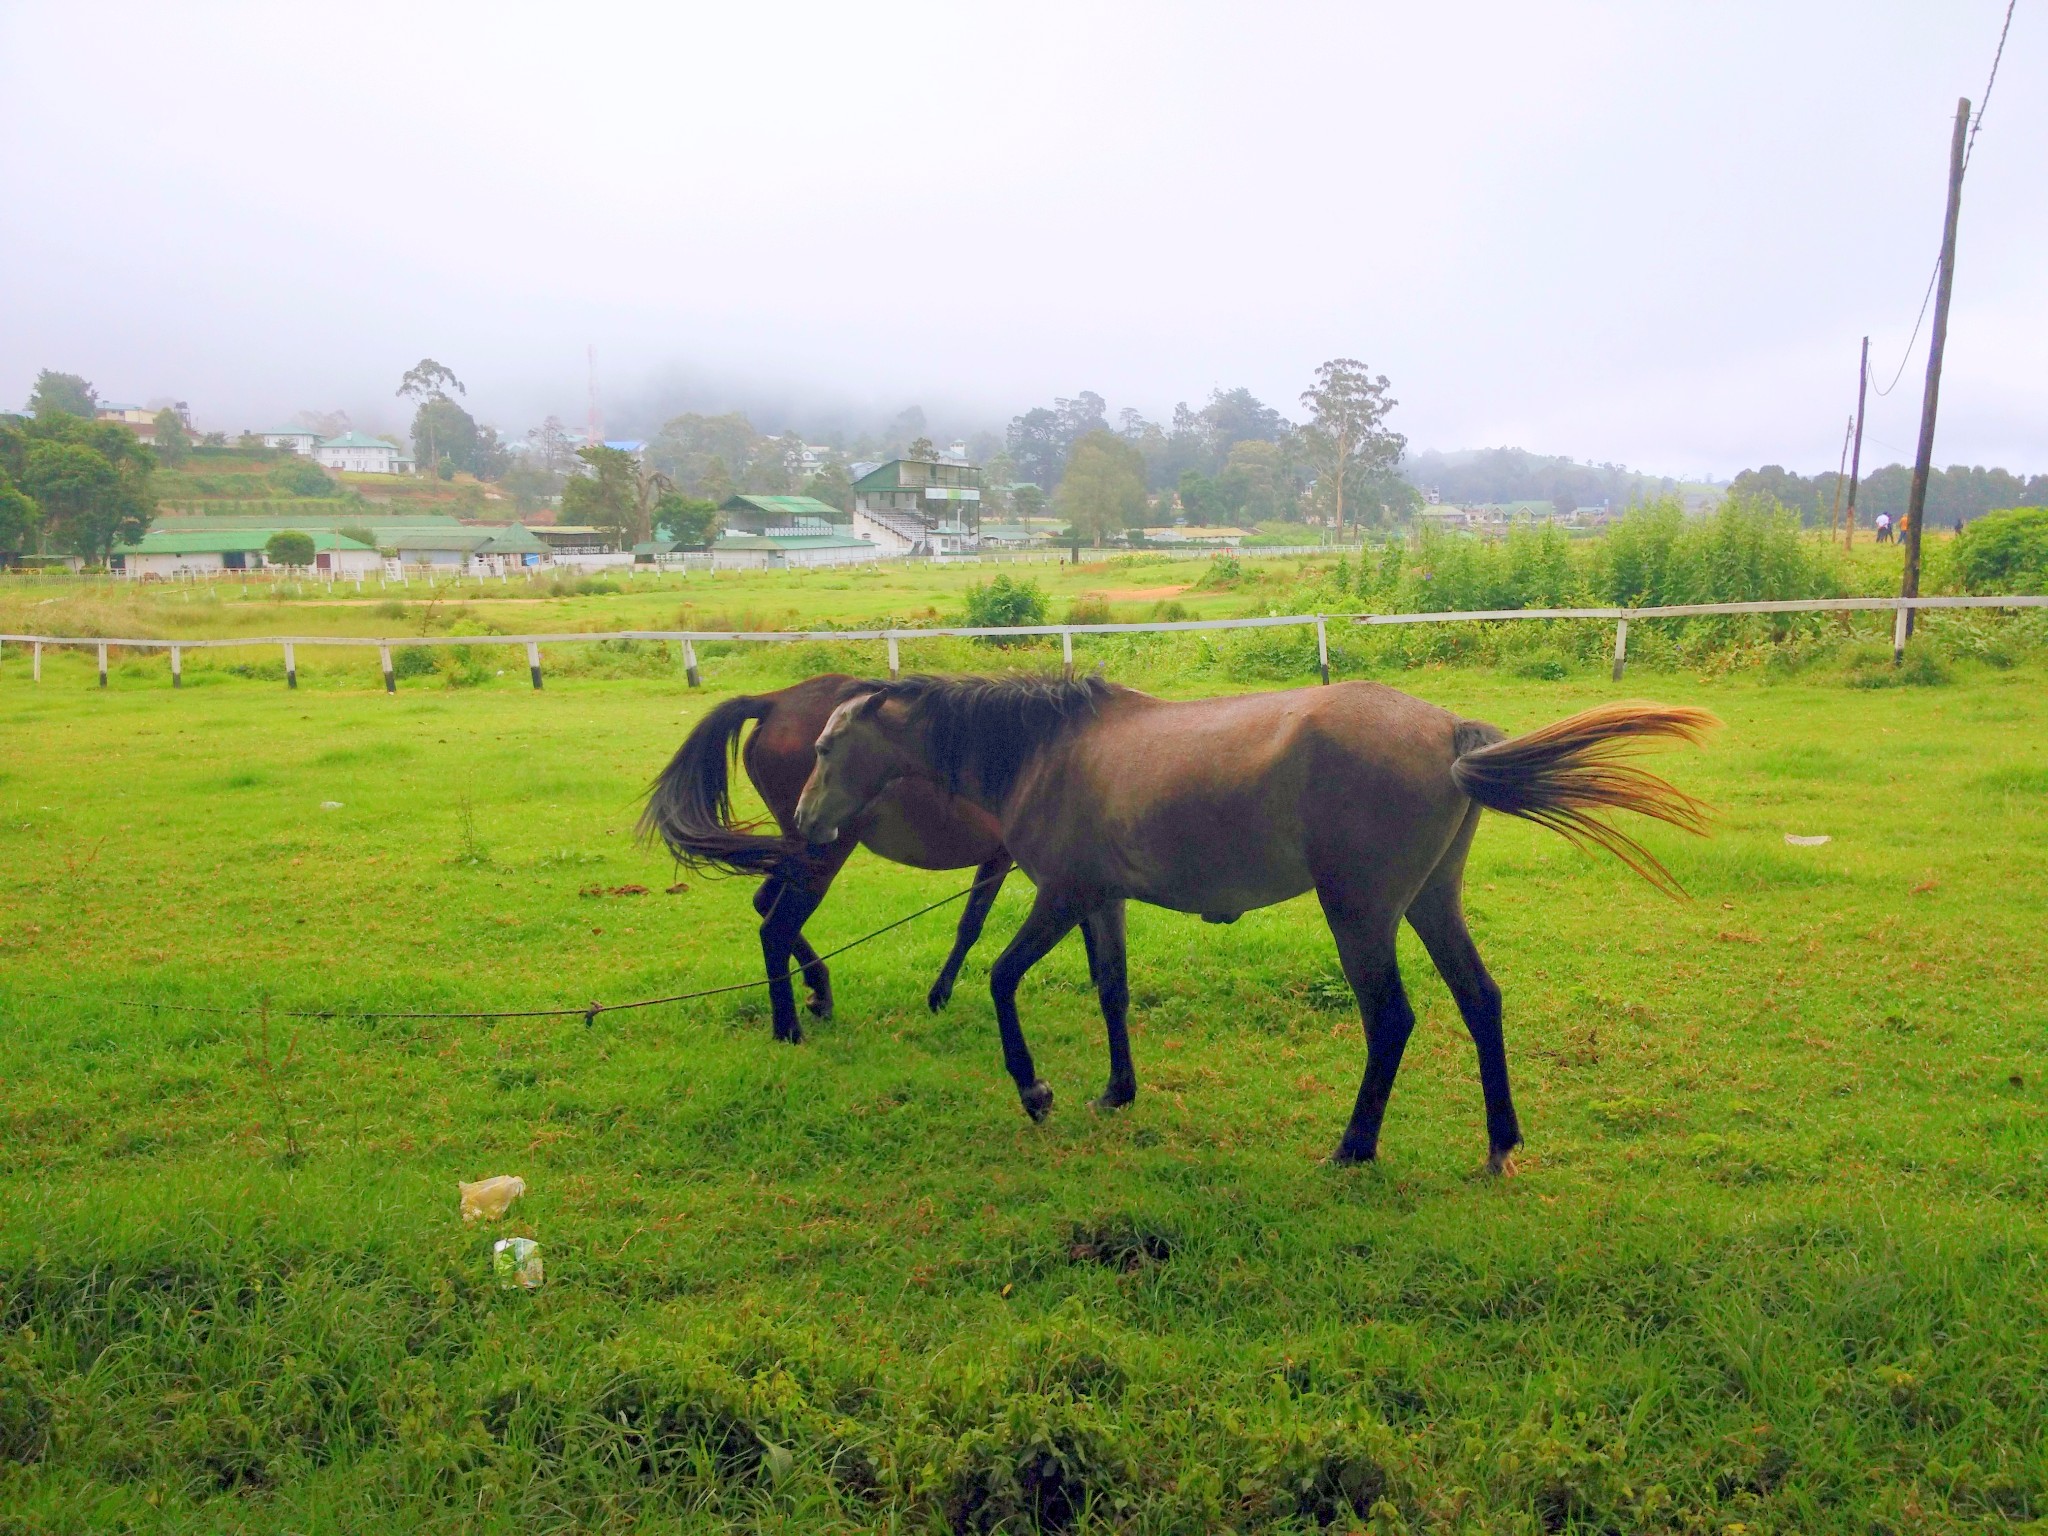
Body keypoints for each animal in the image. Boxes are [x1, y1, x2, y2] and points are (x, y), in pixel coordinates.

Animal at [638, 679, 1015, 1056]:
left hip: (797, 856)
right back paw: (788, 1029)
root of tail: (776, 701)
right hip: (821, 855)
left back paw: (818, 990)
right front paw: (941, 994)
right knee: (776, 928)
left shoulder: (998, 857)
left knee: (763, 902)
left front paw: (940, 994)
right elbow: (974, 924)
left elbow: (969, 924)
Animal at [790, 679, 1720, 1171]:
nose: (802, 821)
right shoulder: (1102, 902)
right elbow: (1111, 991)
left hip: (1361, 915)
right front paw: (1116, 1090)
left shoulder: (1061, 893)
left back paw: (1354, 1145)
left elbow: (1000, 979)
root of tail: (1449, 732)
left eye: (827, 750)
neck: (1046, 749)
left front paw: (1035, 1090)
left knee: (1391, 1020)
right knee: (1479, 1001)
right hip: (1430, 904)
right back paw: (1499, 1142)